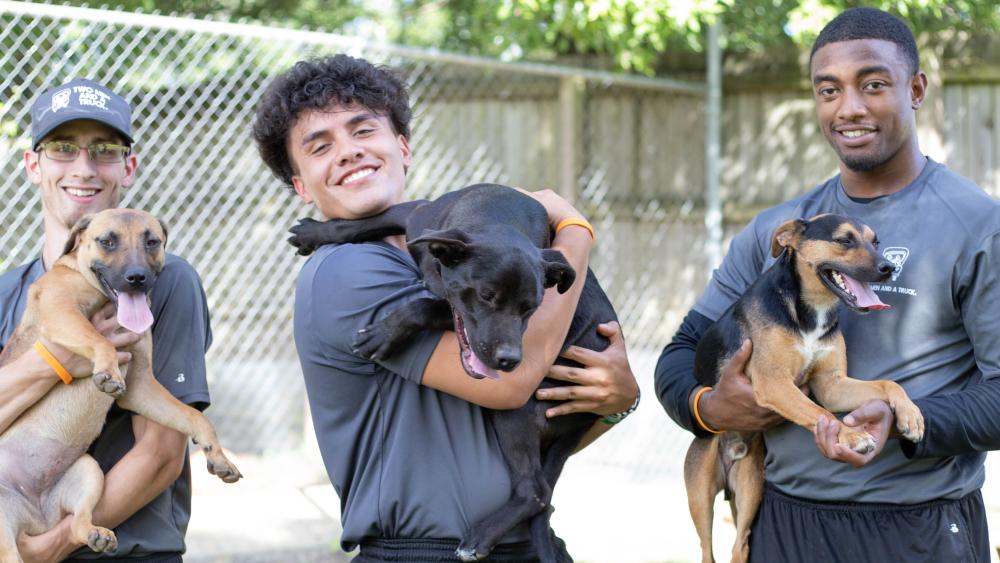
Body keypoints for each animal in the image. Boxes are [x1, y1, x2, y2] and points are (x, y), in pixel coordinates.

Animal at [0, 209, 240, 560]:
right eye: (107, 241)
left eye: (152, 241)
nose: (136, 277)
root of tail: (34, 516)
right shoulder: (61, 310)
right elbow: (100, 340)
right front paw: (107, 371)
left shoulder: (141, 385)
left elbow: (195, 416)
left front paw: (218, 455)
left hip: (88, 472)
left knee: (76, 524)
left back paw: (95, 534)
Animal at [684, 215, 924, 563]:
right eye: (844, 240)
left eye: (875, 242)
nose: (888, 268)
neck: (813, 310)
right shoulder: (775, 383)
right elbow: (818, 412)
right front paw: (851, 436)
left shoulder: (831, 386)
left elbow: (887, 383)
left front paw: (911, 416)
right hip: (700, 492)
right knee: (707, 550)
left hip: (751, 485)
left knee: (739, 545)